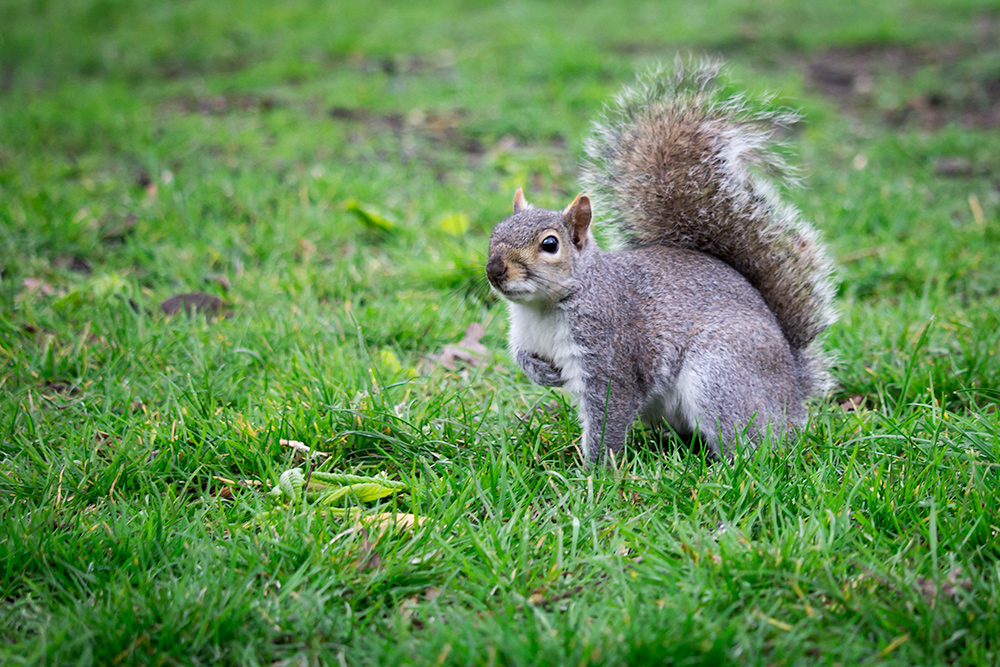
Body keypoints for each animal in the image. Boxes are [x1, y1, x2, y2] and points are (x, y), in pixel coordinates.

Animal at [484, 62, 836, 464]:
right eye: (495, 231)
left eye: (549, 244)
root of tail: (793, 394)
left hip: (720, 375)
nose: (494, 270)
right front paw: (543, 373)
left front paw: (594, 472)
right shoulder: (525, 334)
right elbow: (522, 357)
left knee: (755, 445)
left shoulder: (611, 357)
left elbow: (608, 417)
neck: (543, 308)